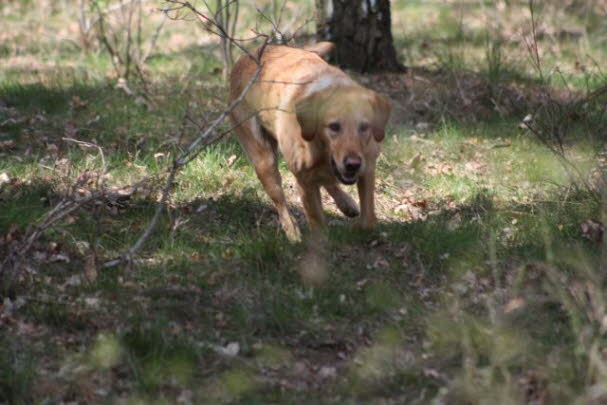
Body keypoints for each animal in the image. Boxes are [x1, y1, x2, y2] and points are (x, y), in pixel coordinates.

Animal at [227, 41, 390, 240]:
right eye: (333, 126)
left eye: (364, 127)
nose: (352, 164)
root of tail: (245, 57)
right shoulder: (304, 181)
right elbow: (317, 224)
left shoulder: (367, 168)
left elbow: (368, 221)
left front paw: (357, 227)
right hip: (264, 161)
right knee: (280, 200)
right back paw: (292, 232)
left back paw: (346, 203)